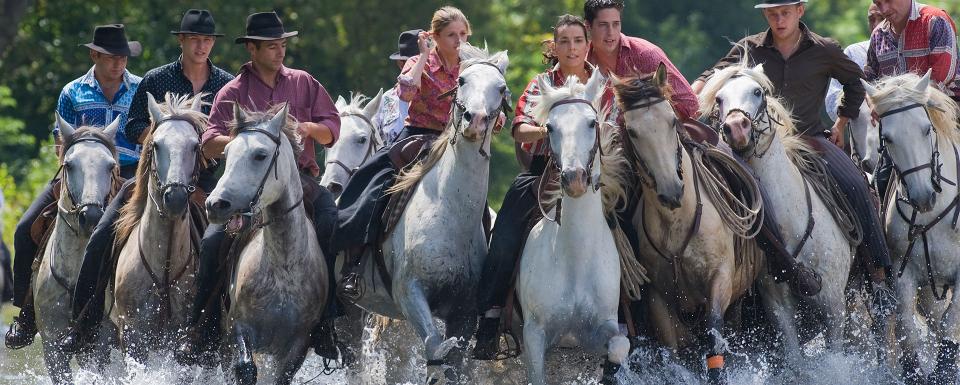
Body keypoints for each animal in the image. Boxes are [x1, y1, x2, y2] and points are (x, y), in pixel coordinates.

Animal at [344, 43, 510, 382]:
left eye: (501, 89)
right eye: (461, 81)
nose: (475, 120)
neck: (448, 213)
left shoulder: (464, 313)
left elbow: (451, 364)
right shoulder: (410, 294)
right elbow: (435, 347)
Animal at [512, 70, 632, 384]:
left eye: (591, 123)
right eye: (550, 127)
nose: (574, 179)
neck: (575, 260)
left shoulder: (599, 329)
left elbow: (619, 347)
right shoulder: (534, 335)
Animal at [864, 70, 960, 384]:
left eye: (926, 129)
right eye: (888, 138)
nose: (922, 197)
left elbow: (950, 322)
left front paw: (944, 370)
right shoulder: (903, 272)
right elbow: (907, 325)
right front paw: (913, 370)